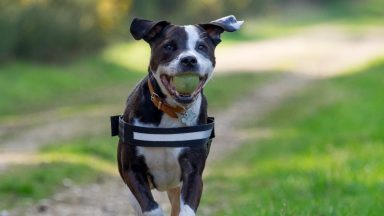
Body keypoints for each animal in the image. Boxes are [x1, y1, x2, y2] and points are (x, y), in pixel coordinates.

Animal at [117, 15, 243, 216]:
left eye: (201, 46)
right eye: (169, 46)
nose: (189, 59)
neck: (172, 111)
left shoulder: (193, 172)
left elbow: (187, 209)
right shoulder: (132, 170)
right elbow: (151, 207)